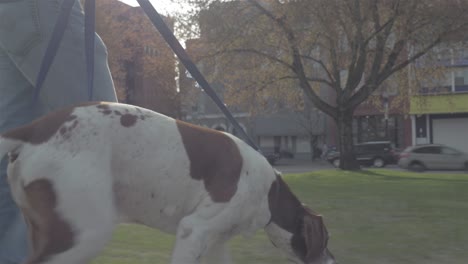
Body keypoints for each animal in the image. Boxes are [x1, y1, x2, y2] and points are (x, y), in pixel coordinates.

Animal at [0, 102, 336, 264]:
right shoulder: (193, 230)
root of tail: (36, 129)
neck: (269, 193)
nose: (333, 260)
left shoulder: (215, 242)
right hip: (82, 234)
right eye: (325, 241)